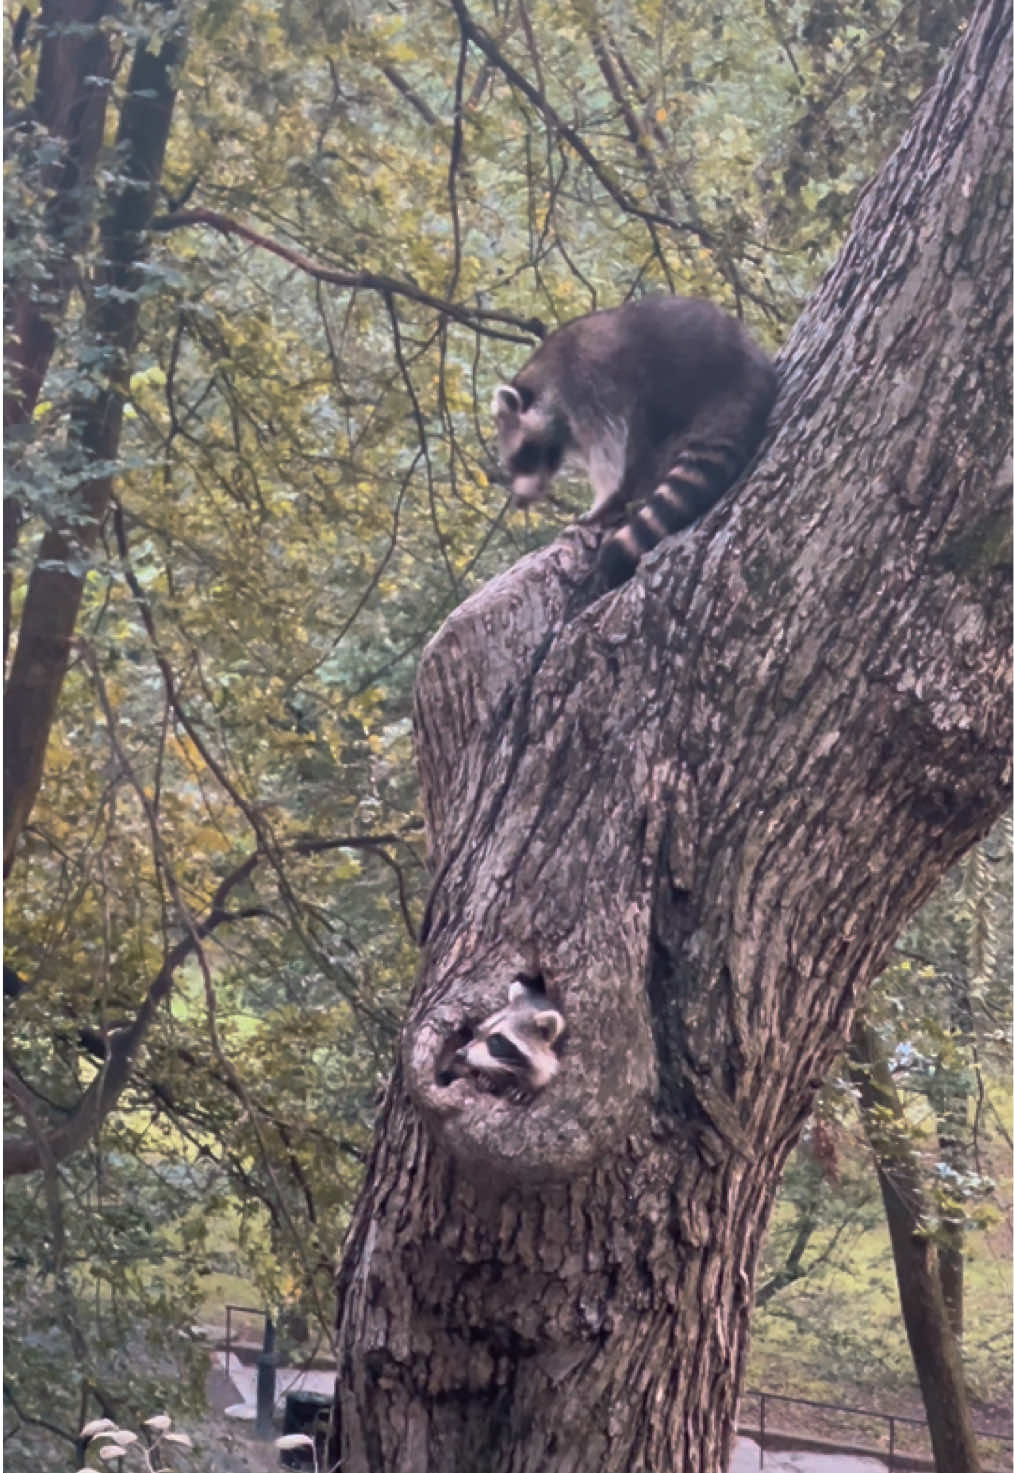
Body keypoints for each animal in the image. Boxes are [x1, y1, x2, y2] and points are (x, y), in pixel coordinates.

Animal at [492, 296, 777, 587]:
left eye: (524, 456)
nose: (520, 501)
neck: (542, 377)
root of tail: (744, 373)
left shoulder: (588, 386)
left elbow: (609, 452)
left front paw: (605, 500)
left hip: (674, 379)